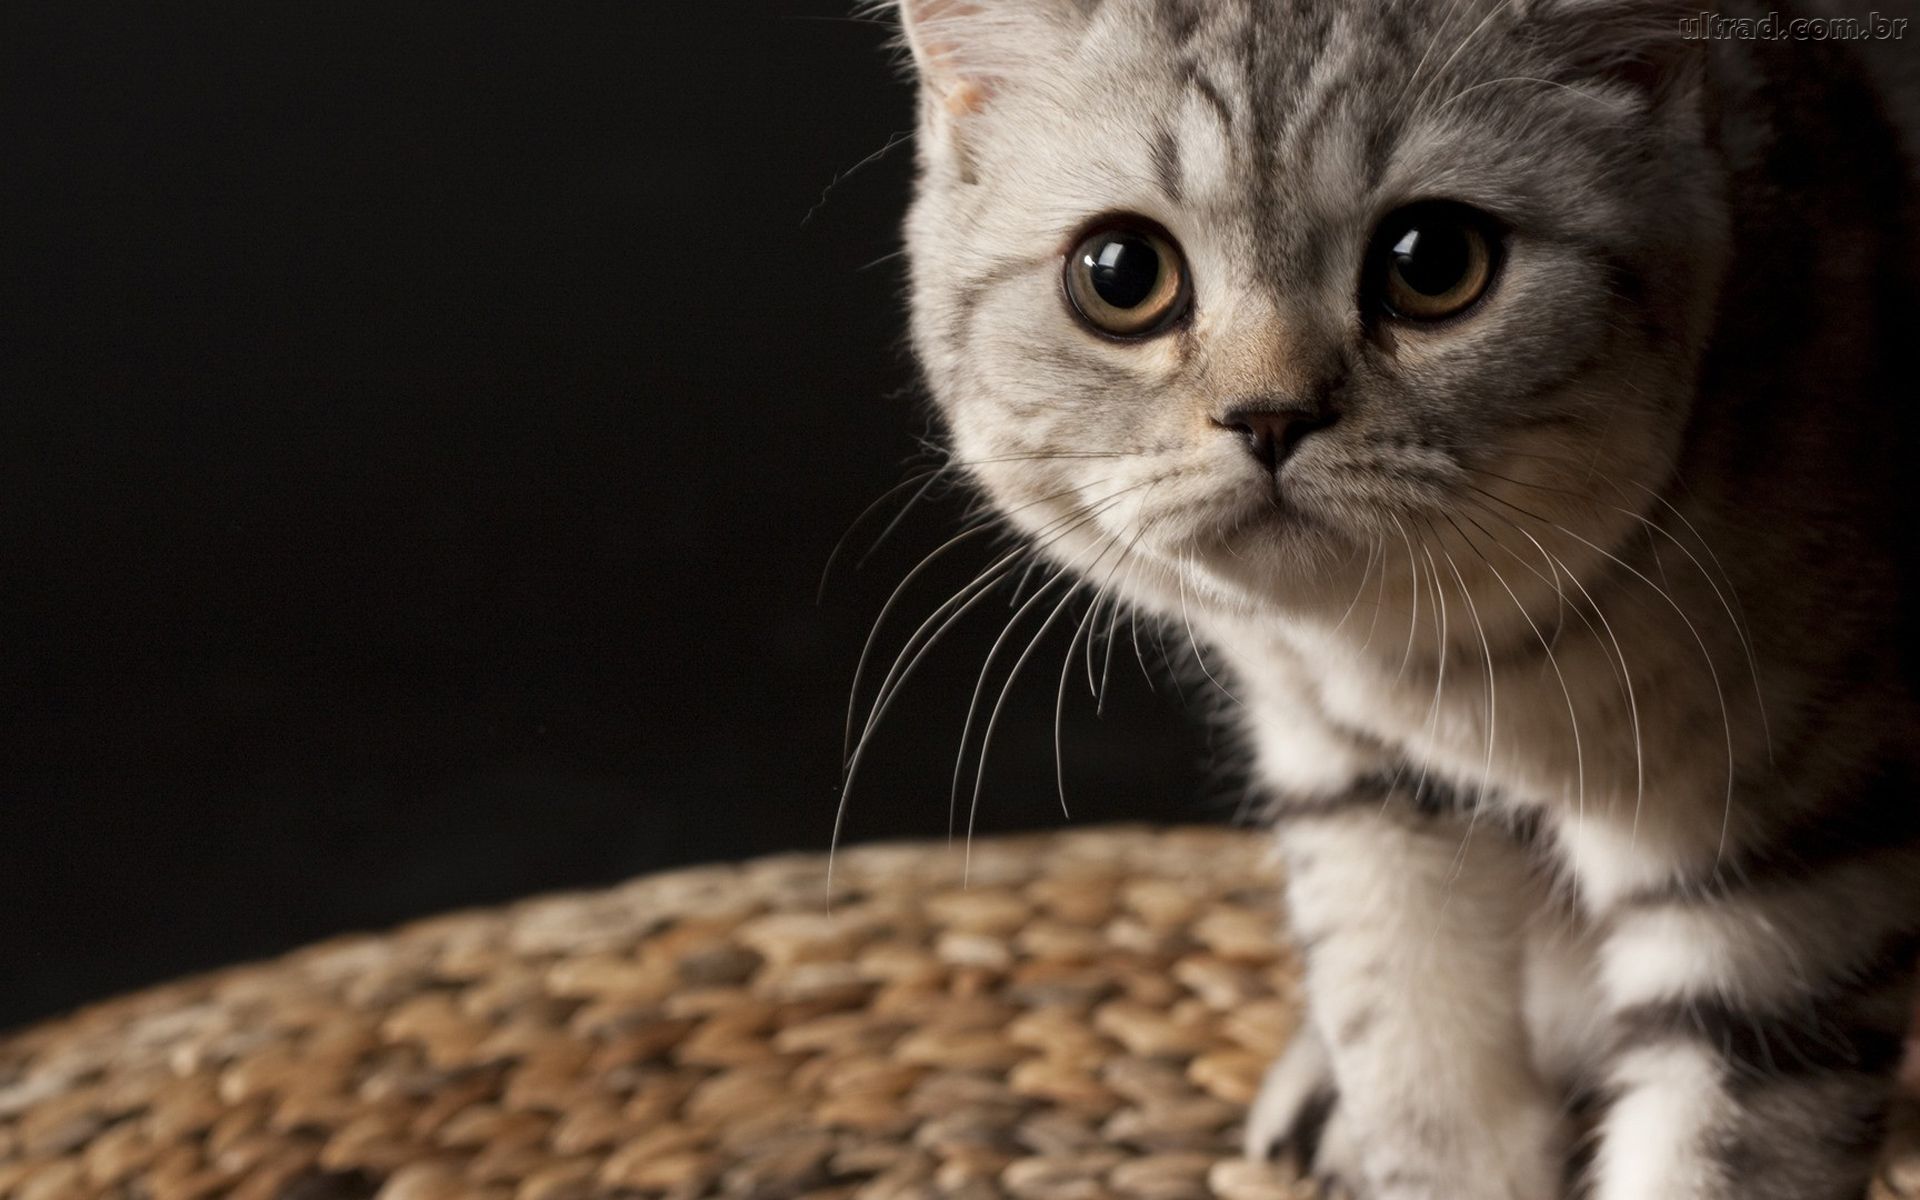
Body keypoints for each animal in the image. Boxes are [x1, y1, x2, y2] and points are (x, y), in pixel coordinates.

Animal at [879, 0, 1920, 1190]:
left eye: (1433, 261)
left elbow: (1710, 1151)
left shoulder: (1789, 869)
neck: (1446, 674)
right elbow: (1419, 1079)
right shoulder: (1358, 794)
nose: (1269, 415)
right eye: (1119, 274)